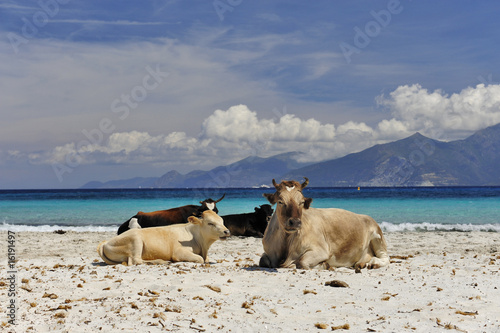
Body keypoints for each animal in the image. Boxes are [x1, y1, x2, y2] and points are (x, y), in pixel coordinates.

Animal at [260, 178, 388, 268]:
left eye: (301, 202)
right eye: (280, 201)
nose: (295, 222)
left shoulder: (320, 250)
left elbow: (302, 262)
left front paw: (324, 265)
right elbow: (262, 260)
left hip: (378, 236)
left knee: (385, 257)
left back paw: (373, 263)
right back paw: (362, 263)